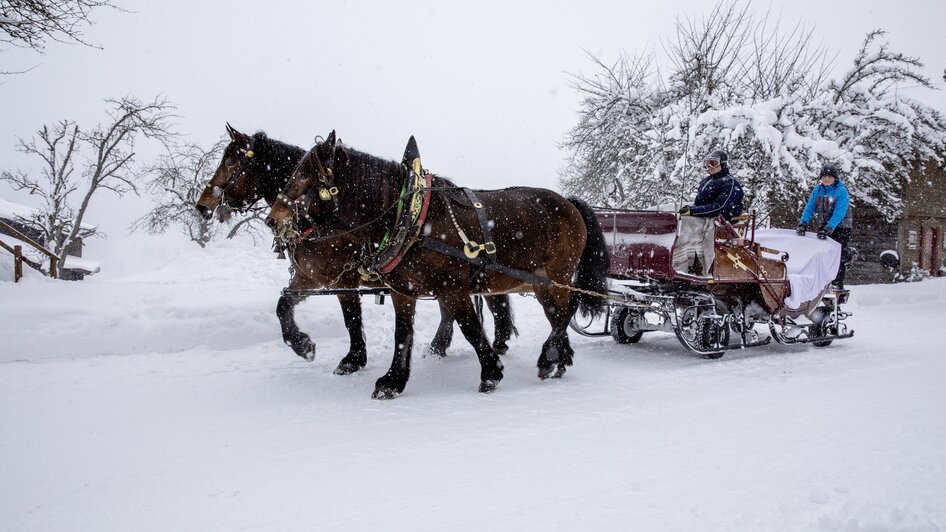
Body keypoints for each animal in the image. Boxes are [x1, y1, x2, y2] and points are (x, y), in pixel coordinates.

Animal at [194, 124, 516, 374]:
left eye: (232, 163)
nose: (203, 204)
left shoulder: (342, 279)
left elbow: (351, 318)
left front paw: (352, 359)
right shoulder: (308, 277)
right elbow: (283, 305)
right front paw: (303, 345)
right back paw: (442, 347)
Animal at [266, 132, 608, 400]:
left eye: (304, 176)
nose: (273, 219)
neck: (410, 218)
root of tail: (568, 201)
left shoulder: (452, 289)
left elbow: (471, 328)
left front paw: (491, 373)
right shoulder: (403, 291)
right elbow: (402, 333)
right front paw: (393, 382)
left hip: (556, 276)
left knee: (565, 311)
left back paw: (549, 358)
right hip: (539, 282)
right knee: (556, 315)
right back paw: (560, 359)